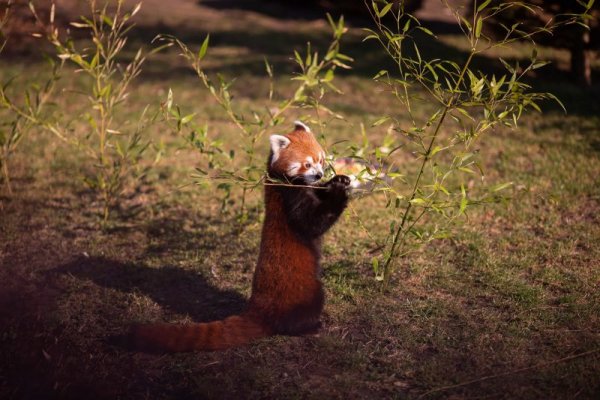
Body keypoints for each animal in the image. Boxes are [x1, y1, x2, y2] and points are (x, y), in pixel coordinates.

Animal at [129, 121, 350, 350]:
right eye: (307, 164)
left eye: (321, 160)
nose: (319, 175)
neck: (289, 181)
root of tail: (259, 310)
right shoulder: (289, 198)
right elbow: (312, 223)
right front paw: (339, 191)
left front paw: (337, 180)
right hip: (305, 291)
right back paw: (309, 328)